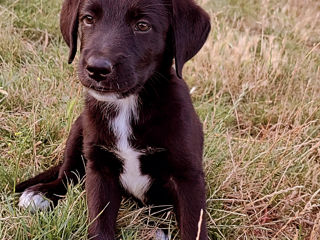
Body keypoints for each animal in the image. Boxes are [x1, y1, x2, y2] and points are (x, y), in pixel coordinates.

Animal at [16, 0, 210, 238]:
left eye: (143, 25)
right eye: (88, 19)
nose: (97, 69)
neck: (127, 106)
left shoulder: (187, 177)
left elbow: (194, 228)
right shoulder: (100, 169)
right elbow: (99, 223)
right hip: (79, 128)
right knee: (68, 173)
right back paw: (42, 193)